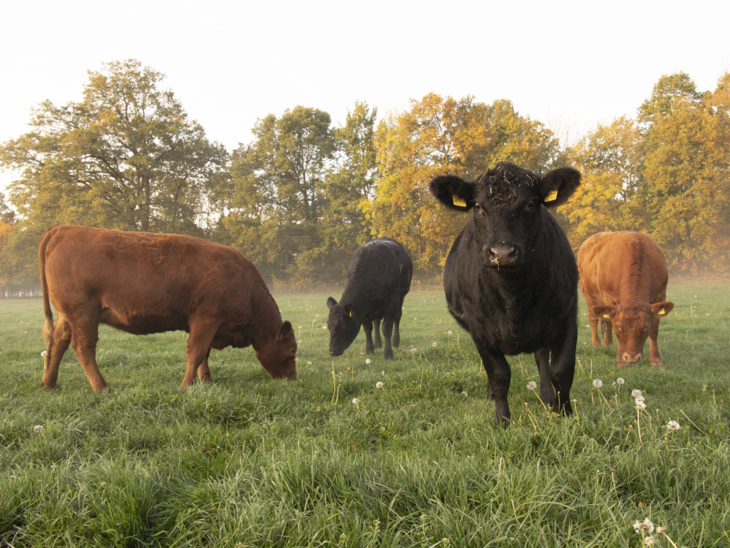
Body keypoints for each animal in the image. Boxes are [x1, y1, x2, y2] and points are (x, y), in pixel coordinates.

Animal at [38, 225, 297, 392]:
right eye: (292, 350)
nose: (293, 379)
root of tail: (64, 229)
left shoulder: (207, 324)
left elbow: (204, 354)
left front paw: (205, 380)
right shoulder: (206, 318)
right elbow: (196, 353)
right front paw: (187, 385)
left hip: (67, 315)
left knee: (58, 342)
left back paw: (49, 383)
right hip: (83, 313)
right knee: (84, 347)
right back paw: (101, 387)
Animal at [430, 162, 582, 424]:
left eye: (531, 203)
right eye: (478, 206)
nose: (502, 253)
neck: (513, 295)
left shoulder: (567, 313)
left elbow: (561, 370)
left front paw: (565, 413)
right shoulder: (479, 326)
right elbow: (499, 374)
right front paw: (502, 419)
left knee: (541, 357)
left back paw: (547, 398)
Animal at [577, 231, 673, 366]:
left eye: (645, 327)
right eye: (620, 327)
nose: (632, 358)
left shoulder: (660, 296)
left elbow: (654, 331)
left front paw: (656, 359)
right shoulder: (610, 298)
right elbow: (615, 329)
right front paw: (621, 360)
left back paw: (608, 344)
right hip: (587, 293)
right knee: (593, 318)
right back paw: (596, 344)